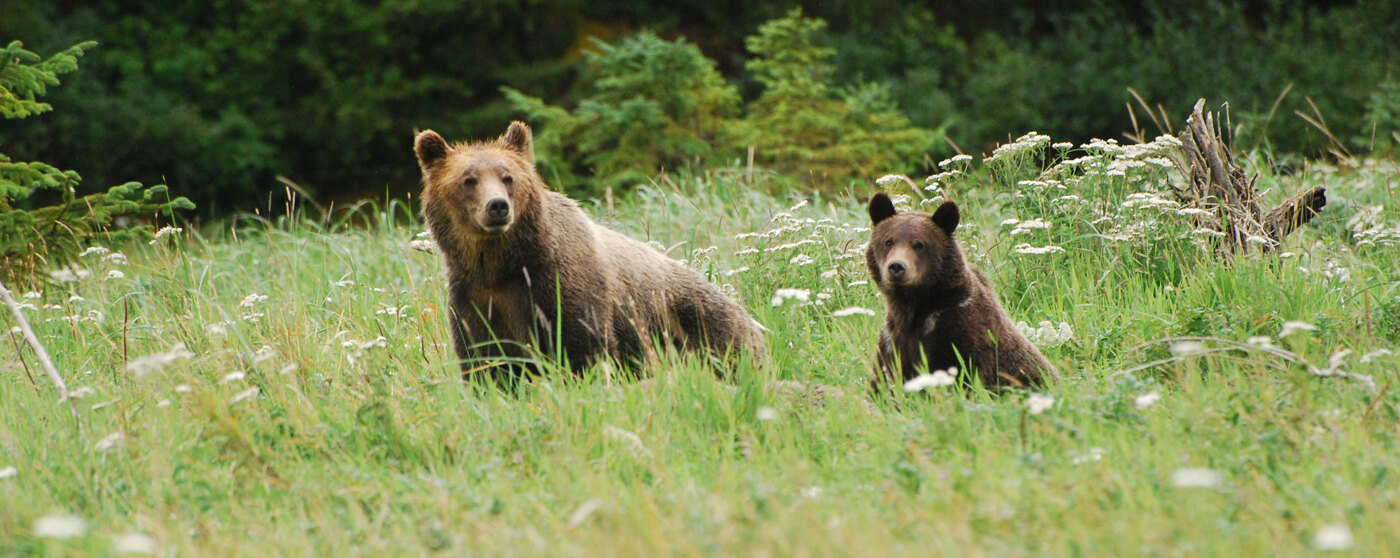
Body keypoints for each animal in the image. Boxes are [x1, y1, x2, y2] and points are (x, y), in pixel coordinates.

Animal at [414, 118, 767, 380]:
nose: (497, 206)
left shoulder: (561, 282)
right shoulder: (474, 296)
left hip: (698, 322)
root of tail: (749, 316)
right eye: (468, 179)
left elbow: (584, 345)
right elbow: (486, 360)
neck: (501, 264)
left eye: (507, 177)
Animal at [862, 194, 1058, 391]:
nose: (896, 267)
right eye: (888, 241)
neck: (915, 305)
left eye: (919, 244)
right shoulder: (891, 339)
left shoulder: (959, 331)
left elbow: (966, 373)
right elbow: (882, 380)